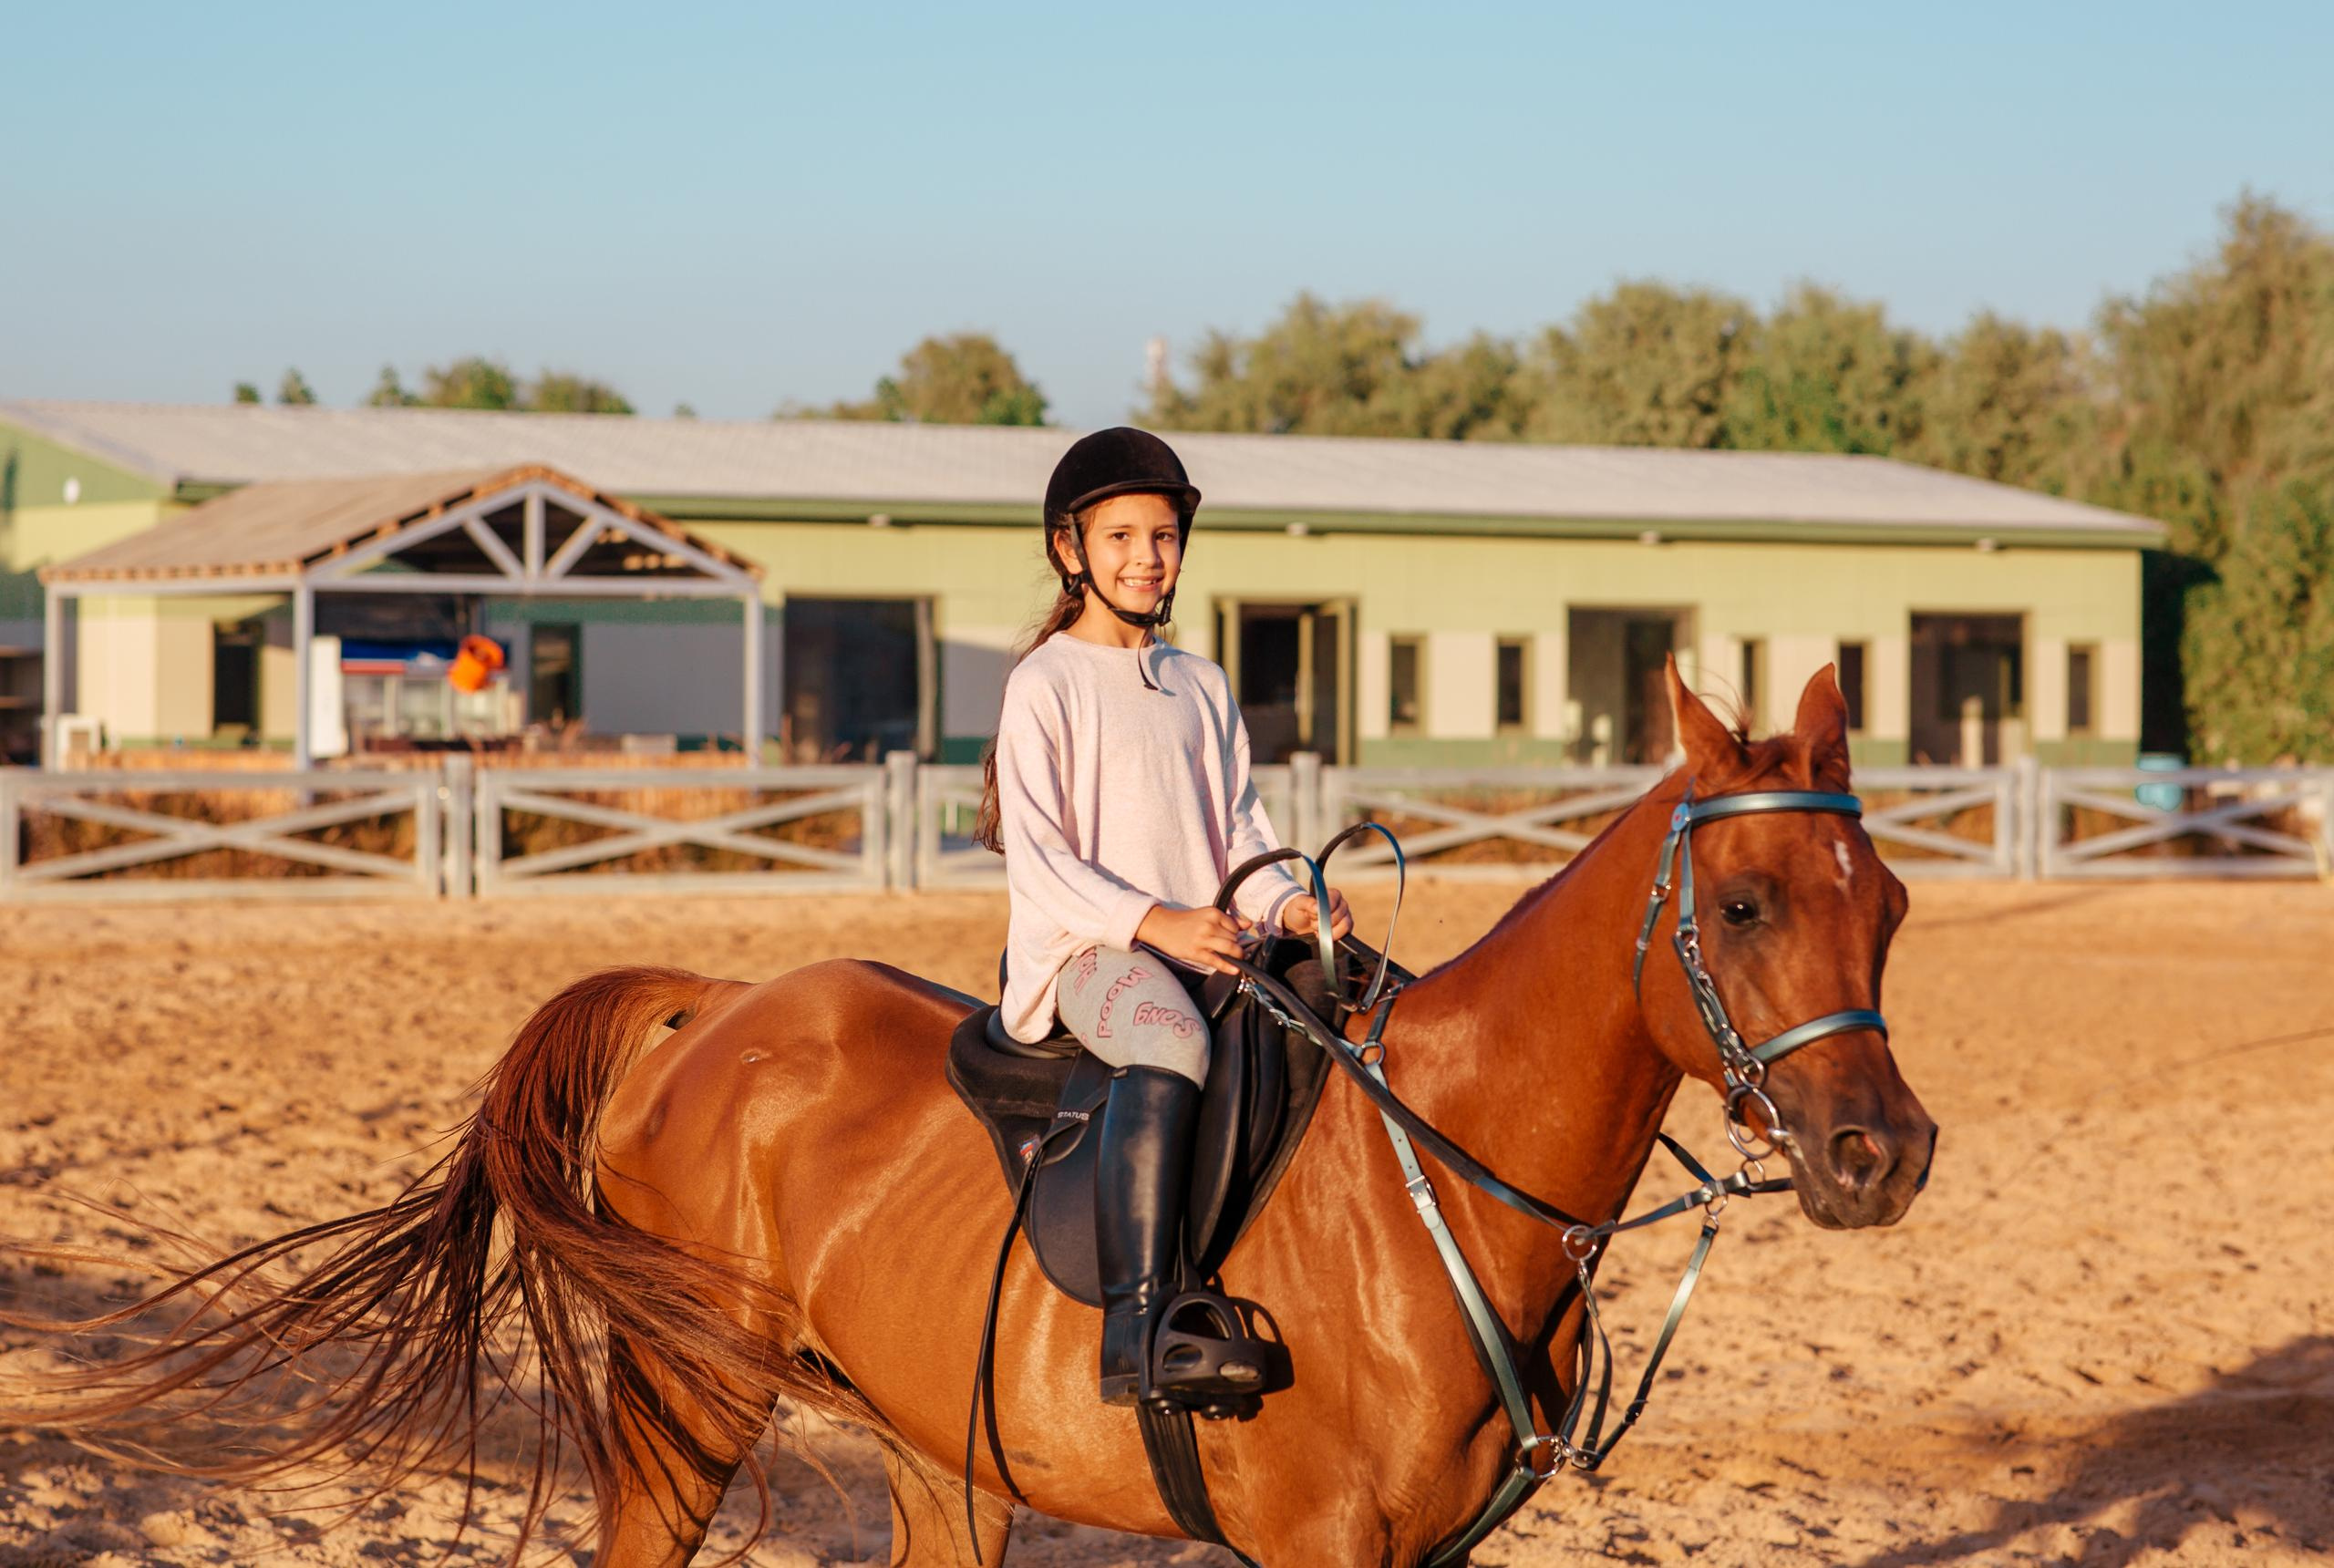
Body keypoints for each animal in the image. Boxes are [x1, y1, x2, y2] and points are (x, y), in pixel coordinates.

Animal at [4, 662, 1935, 1566]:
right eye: (1745, 903)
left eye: (1891, 903)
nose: (1883, 1156)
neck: (1436, 1201)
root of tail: (708, 1013)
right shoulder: (1321, 1549)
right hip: (692, 1396)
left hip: (942, 1446)